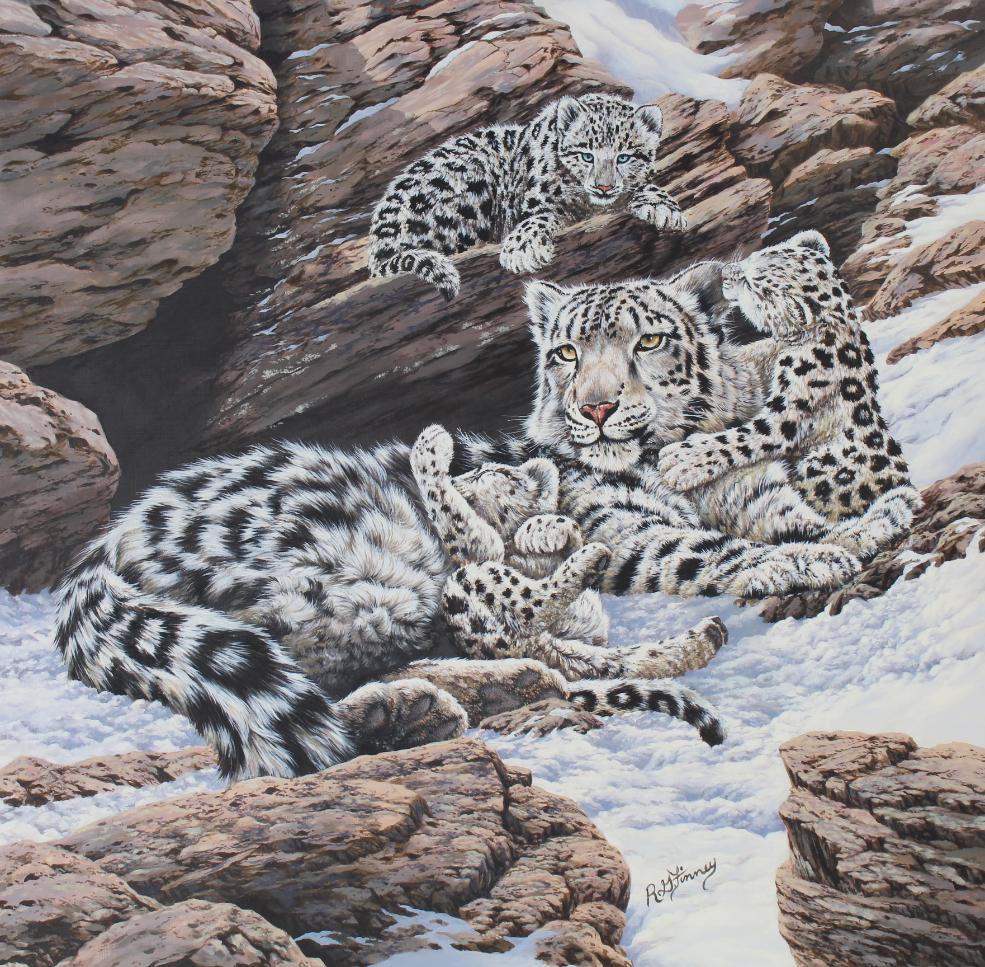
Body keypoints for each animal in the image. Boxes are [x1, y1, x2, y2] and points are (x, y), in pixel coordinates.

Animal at [367, 92, 686, 299]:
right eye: (586, 155)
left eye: (624, 157)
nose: (603, 187)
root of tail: (380, 236)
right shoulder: (536, 203)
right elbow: (540, 217)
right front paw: (522, 250)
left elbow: (643, 185)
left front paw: (665, 208)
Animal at [656, 231, 921, 532]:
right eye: (754, 256)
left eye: (752, 283)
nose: (726, 273)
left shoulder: (792, 410)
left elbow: (747, 436)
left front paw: (683, 460)